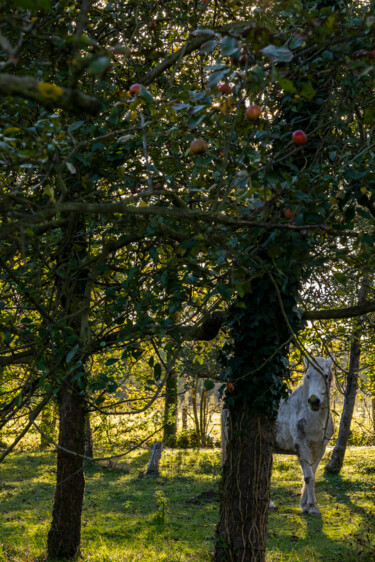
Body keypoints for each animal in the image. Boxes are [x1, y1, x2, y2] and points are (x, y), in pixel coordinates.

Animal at [220, 356, 334, 516]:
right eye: (308, 376)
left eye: (326, 375)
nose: (314, 401)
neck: (313, 417)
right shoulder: (302, 446)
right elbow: (308, 476)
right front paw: (312, 507)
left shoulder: (320, 448)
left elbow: (312, 473)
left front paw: (305, 505)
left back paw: (269, 504)